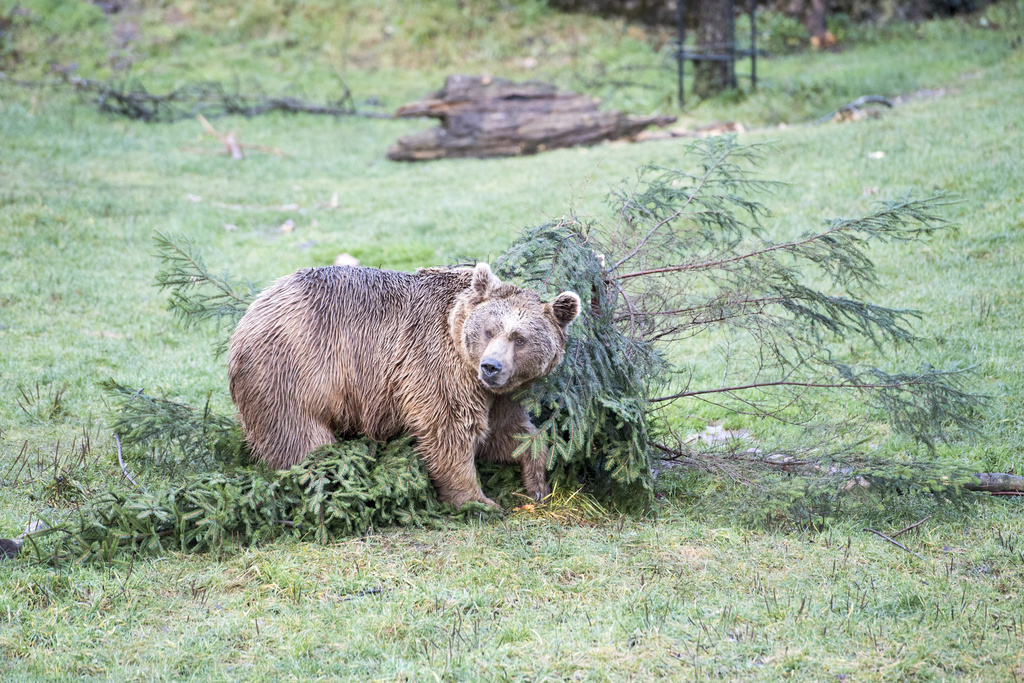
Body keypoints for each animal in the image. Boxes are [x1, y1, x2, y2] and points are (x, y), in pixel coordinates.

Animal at [229, 262, 581, 507]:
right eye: (489, 330)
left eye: (520, 338)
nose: (491, 366)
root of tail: (250, 313)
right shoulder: (434, 364)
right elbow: (449, 429)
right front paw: (477, 500)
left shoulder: (502, 395)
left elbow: (511, 434)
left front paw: (537, 484)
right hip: (292, 370)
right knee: (301, 438)